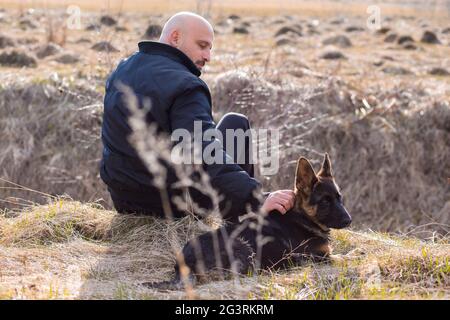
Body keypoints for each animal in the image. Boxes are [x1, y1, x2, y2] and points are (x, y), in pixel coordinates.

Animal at [145, 154, 352, 288]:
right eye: (325, 201)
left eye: (339, 198)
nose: (349, 220)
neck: (303, 217)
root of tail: (183, 264)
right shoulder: (319, 257)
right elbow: (344, 257)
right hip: (243, 248)